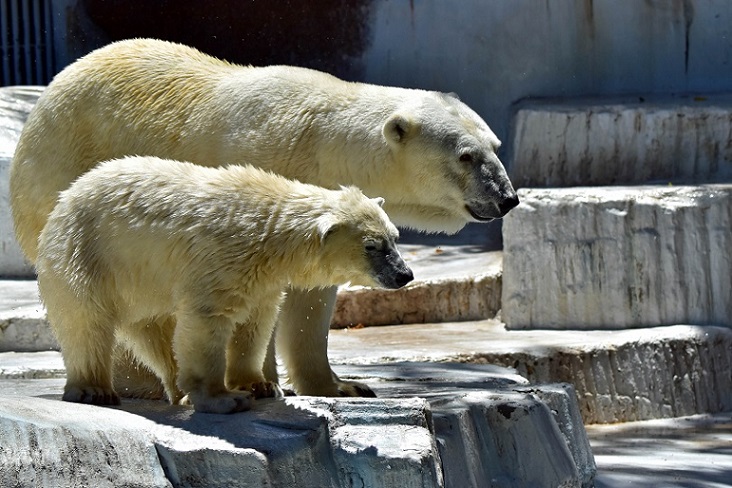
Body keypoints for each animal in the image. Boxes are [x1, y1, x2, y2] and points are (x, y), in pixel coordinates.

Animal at [8, 37, 516, 396]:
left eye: (495, 145)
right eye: (466, 156)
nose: (508, 198)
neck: (324, 144)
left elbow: (311, 300)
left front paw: (342, 386)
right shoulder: (261, 169)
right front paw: (261, 382)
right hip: (61, 179)